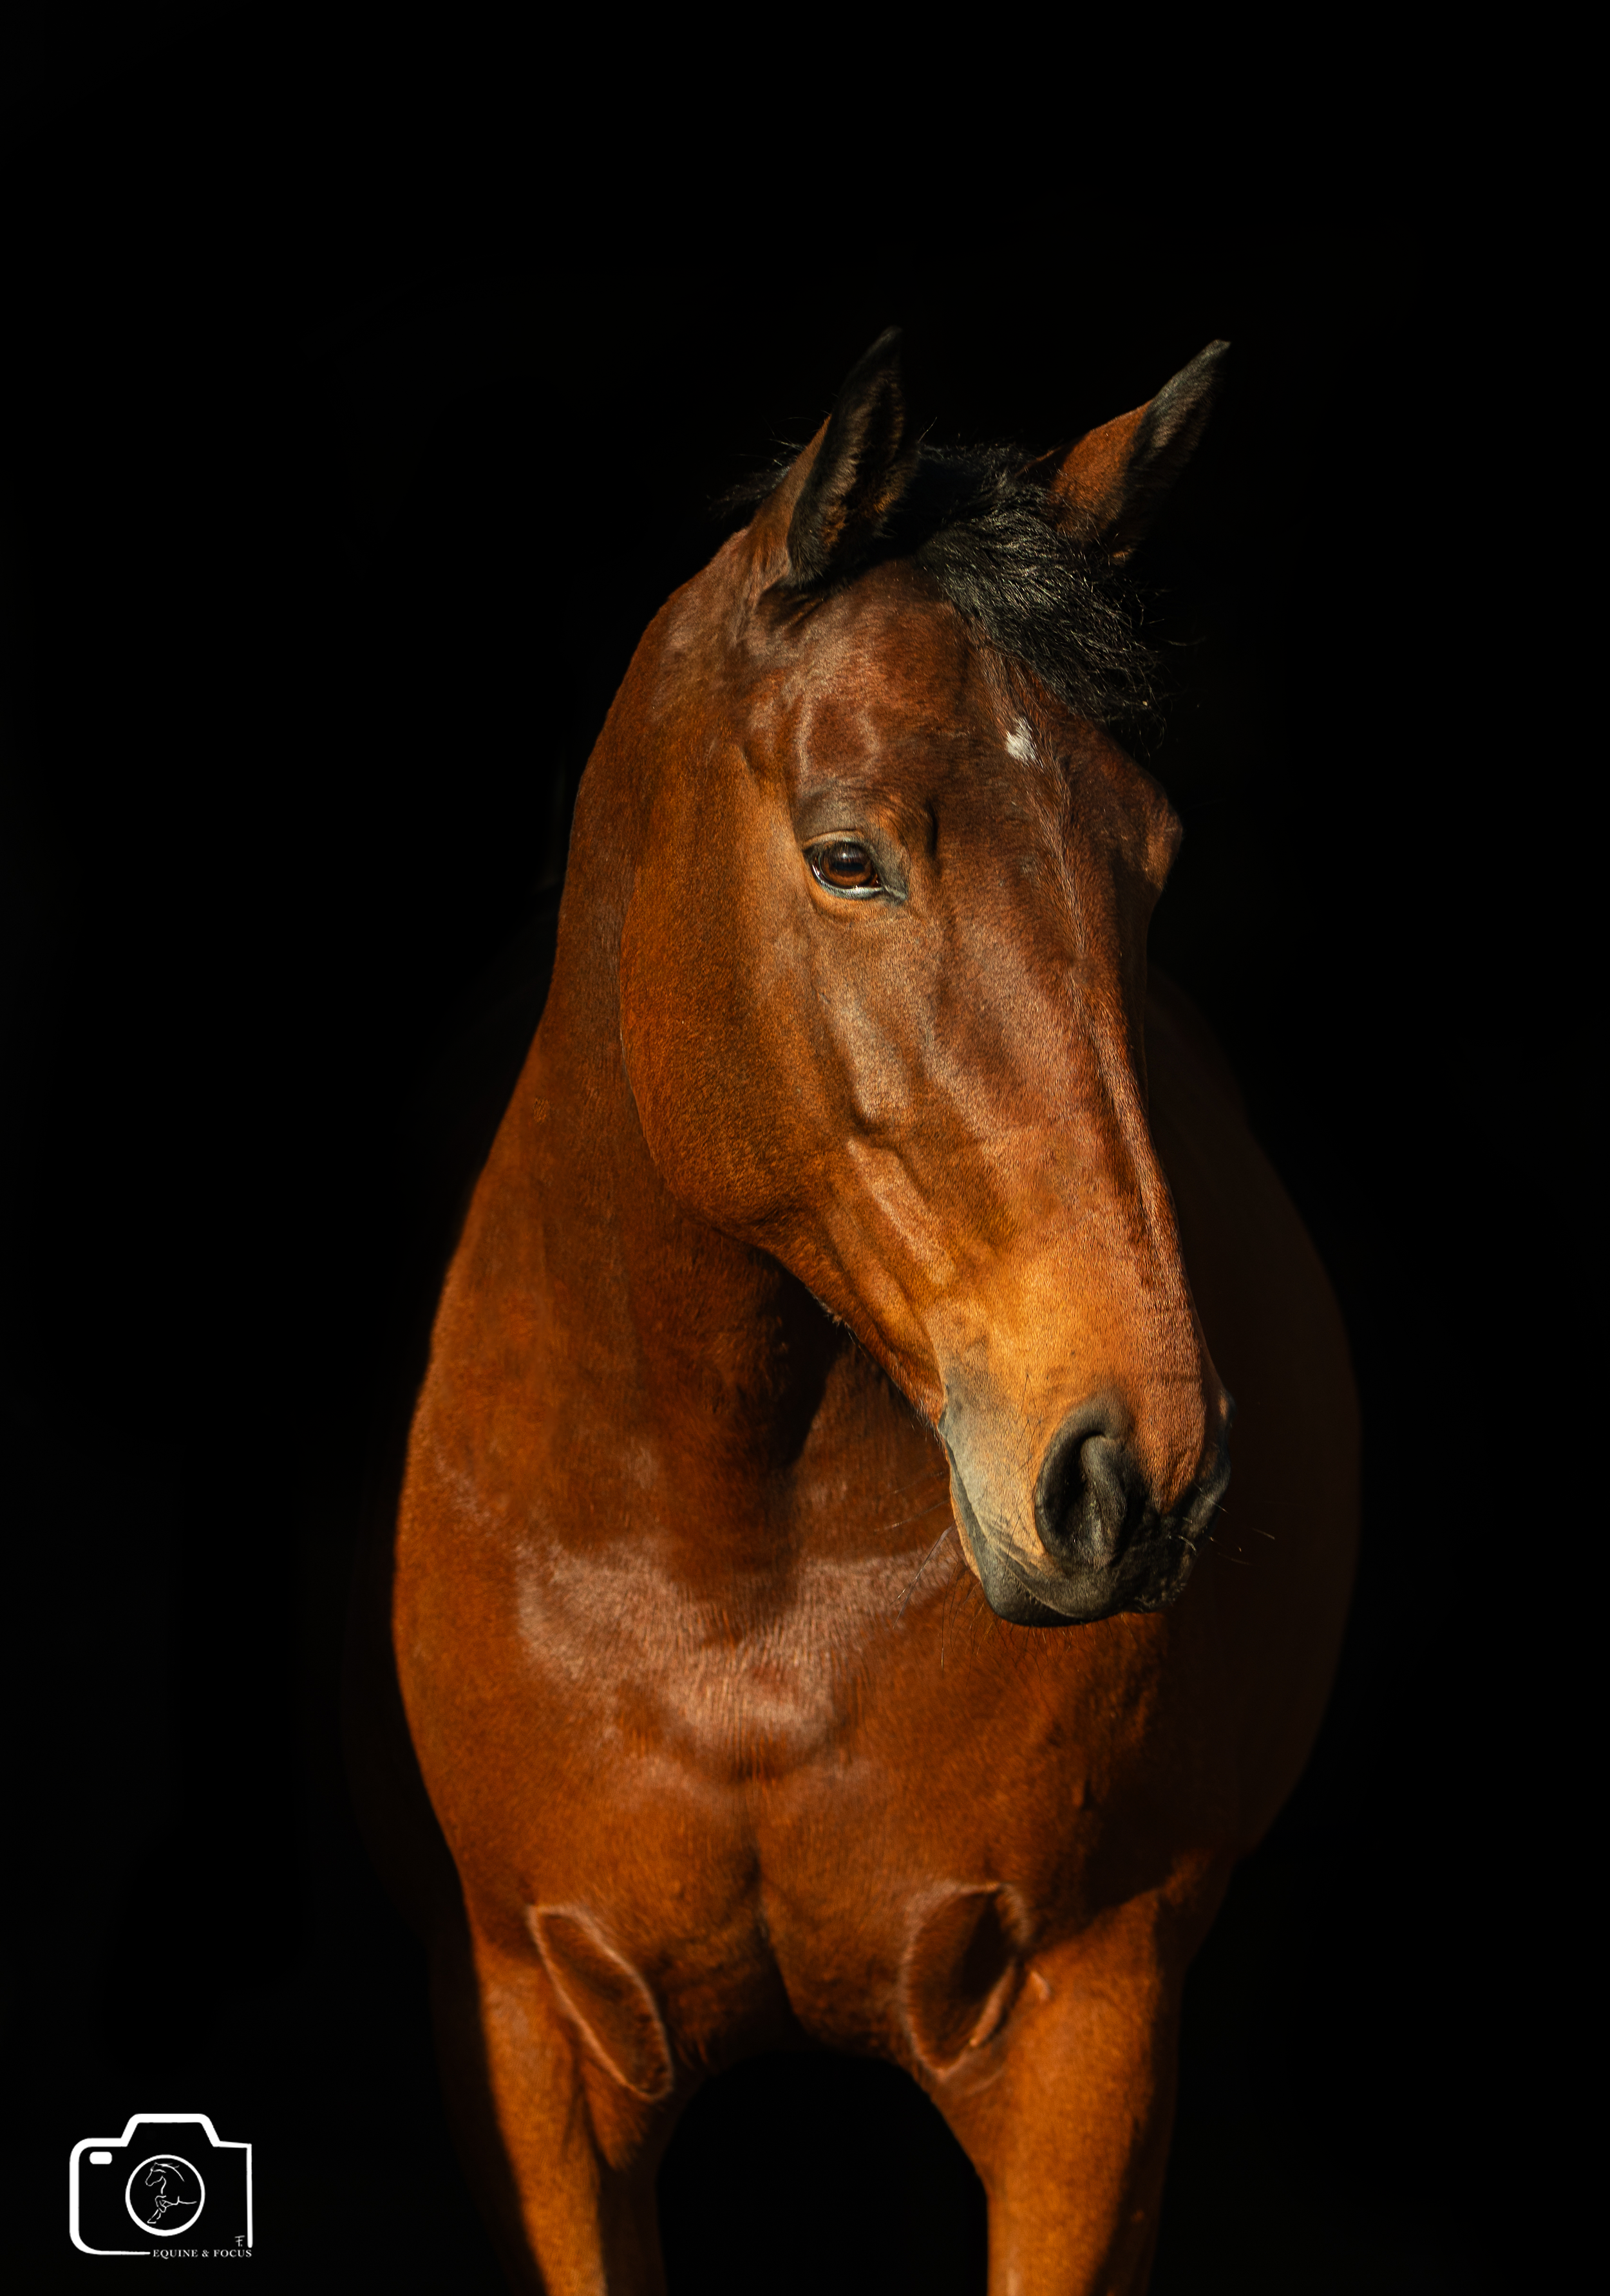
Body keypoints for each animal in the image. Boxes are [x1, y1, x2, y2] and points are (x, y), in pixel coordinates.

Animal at [385, 329, 1359, 2293]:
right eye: (849, 857)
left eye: (1148, 862)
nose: (1138, 1470)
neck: (734, 1580)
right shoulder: (528, 2038)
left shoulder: (1084, 2039)